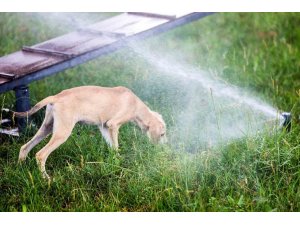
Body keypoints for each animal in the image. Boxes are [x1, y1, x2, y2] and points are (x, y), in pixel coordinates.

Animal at [14, 86, 166, 179]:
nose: (163, 149)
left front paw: (116, 163)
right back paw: (46, 178)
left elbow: (113, 148)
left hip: (47, 128)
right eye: (163, 134)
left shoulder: (105, 127)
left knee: (24, 147)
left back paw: (20, 168)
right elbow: (116, 146)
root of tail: (56, 97)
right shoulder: (113, 125)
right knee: (41, 155)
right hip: (62, 133)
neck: (137, 105)